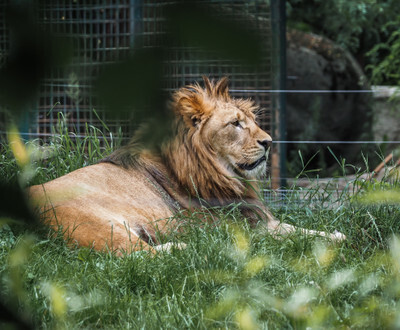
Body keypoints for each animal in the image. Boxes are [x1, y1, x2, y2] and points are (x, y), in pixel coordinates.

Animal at [29, 76, 346, 253]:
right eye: (235, 124)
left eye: (252, 121)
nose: (269, 142)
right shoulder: (244, 227)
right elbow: (297, 232)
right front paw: (336, 237)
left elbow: (299, 227)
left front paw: (334, 233)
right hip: (97, 225)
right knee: (133, 256)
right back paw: (187, 248)